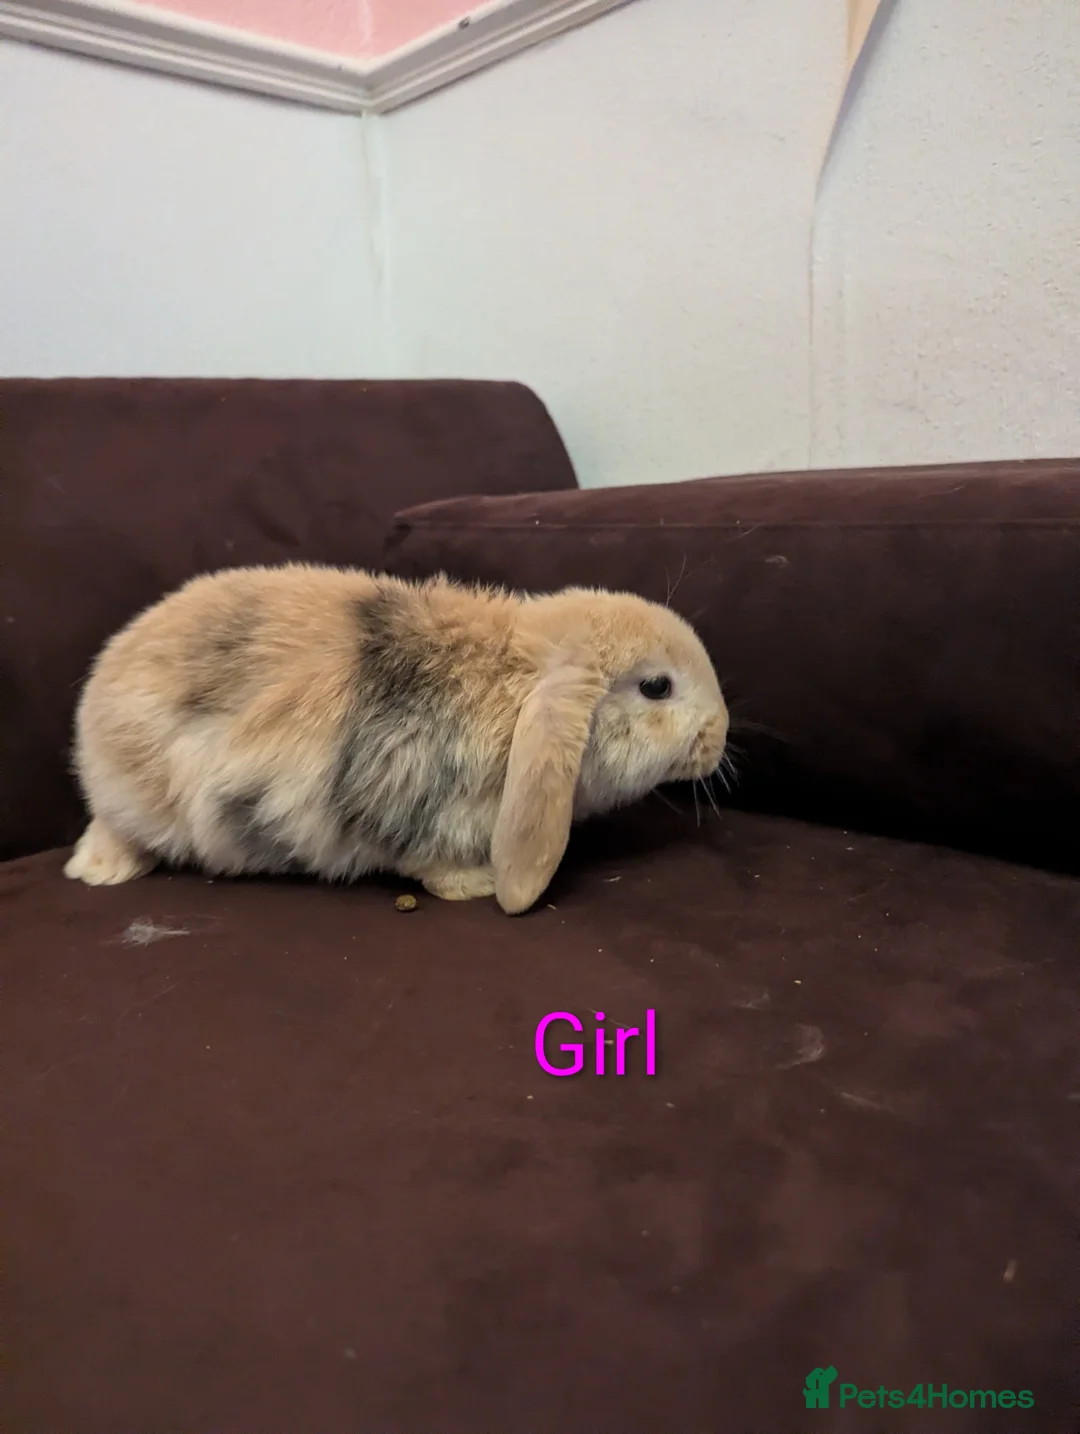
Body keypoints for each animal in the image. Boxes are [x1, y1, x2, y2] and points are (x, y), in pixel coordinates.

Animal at [64, 563, 729, 915]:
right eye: (656, 687)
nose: (720, 735)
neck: (515, 685)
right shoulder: (418, 810)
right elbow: (430, 863)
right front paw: (480, 885)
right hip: (138, 797)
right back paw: (100, 873)